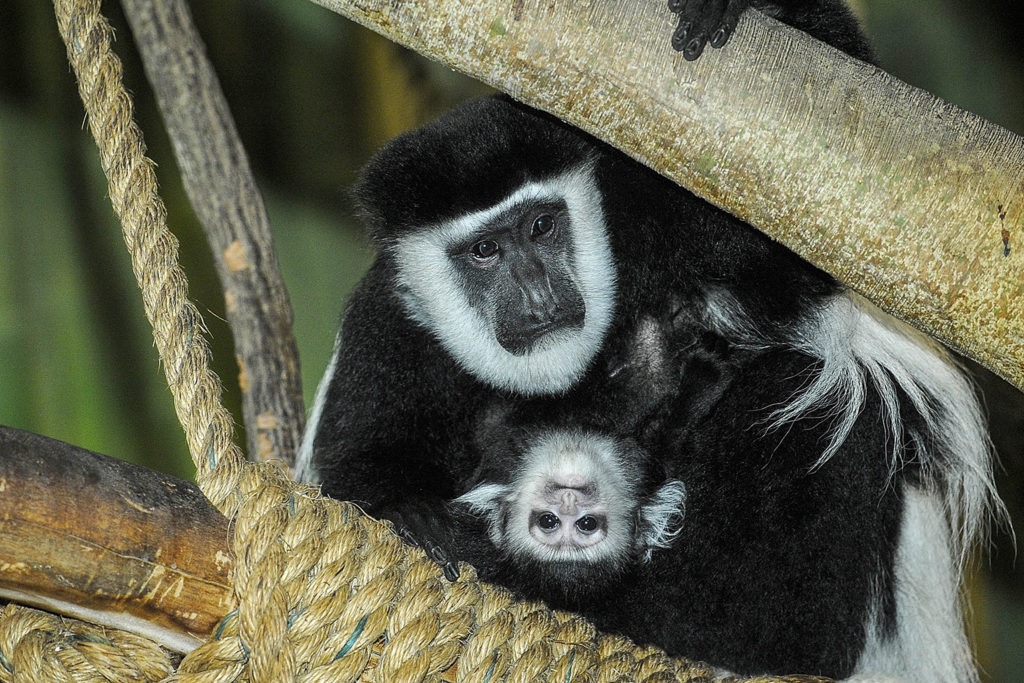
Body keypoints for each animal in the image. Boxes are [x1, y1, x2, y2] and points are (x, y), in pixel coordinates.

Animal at [299, 0, 1003, 679]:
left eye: (541, 226)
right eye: (485, 252)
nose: (535, 290)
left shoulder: (651, 208)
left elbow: (821, 204)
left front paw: (728, 7)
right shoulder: (389, 331)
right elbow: (353, 471)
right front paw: (422, 521)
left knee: (818, 401)